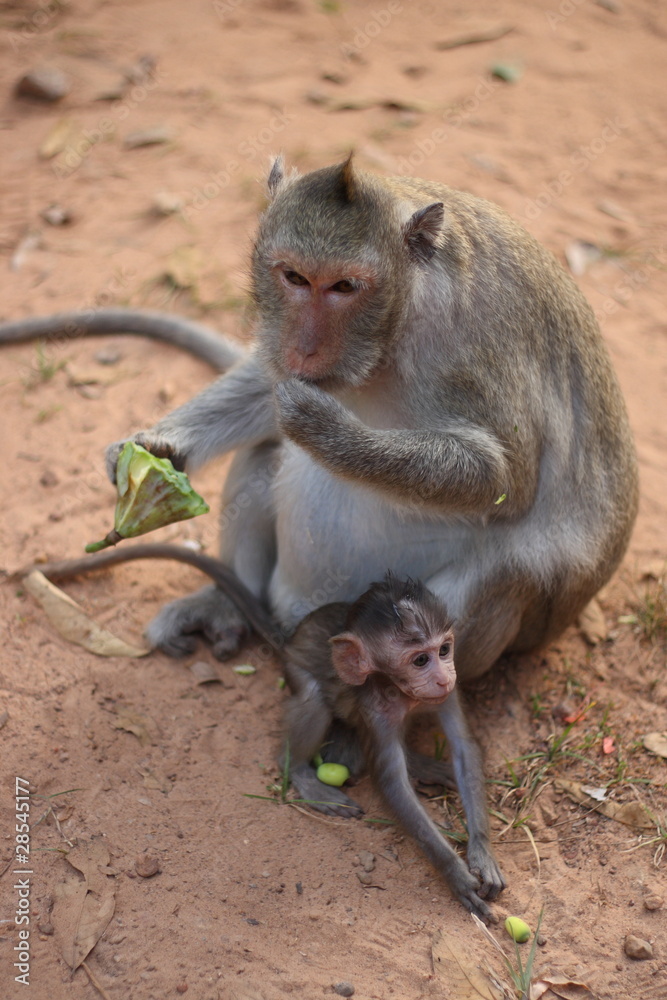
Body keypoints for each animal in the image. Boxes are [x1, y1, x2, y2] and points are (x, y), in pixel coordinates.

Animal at [1, 155, 638, 685]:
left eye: (344, 287)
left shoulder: (476, 347)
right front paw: (154, 450)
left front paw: (323, 427)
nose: (305, 349)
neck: (401, 317)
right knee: (262, 454)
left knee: (512, 570)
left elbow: (507, 478)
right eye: (294, 278)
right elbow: (265, 386)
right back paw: (227, 605)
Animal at [27, 547, 504, 920]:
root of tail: (289, 637)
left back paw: (425, 765)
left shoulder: (445, 695)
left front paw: (481, 853)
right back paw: (308, 778)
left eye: (444, 649)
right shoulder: (375, 705)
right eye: (419, 659)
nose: (443, 675)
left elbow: (465, 749)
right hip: (296, 670)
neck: (401, 692)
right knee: (313, 701)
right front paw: (454, 872)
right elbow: (391, 784)